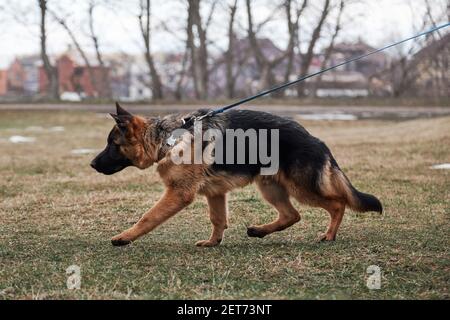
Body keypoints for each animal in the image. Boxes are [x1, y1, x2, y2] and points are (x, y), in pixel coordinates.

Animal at [91, 104, 384, 246]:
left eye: (112, 144)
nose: (92, 164)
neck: (168, 138)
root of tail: (317, 140)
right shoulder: (215, 193)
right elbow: (218, 219)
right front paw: (213, 242)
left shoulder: (179, 193)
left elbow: (148, 217)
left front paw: (124, 237)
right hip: (270, 187)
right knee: (292, 215)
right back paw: (259, 231)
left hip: (301, 188)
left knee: (337, 204)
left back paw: (329, 235)